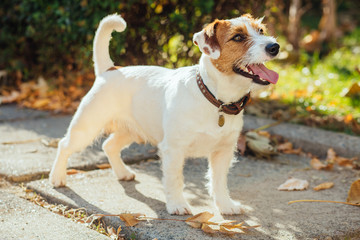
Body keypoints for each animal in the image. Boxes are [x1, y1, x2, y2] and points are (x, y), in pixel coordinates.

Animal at [48, 13, 278, 216]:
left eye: (261, 30)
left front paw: (225, 205)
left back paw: (123, 173)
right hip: (86, 127)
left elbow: (219, 181)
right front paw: (177, 205)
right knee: (64, 145)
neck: (215, 99)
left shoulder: (223, 152)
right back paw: (57, 178)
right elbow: (175, 180)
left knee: (109, 145)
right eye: (238, 37)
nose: (274, 47)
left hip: (130, 131)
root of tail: (110, 70)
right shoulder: (174, 150)